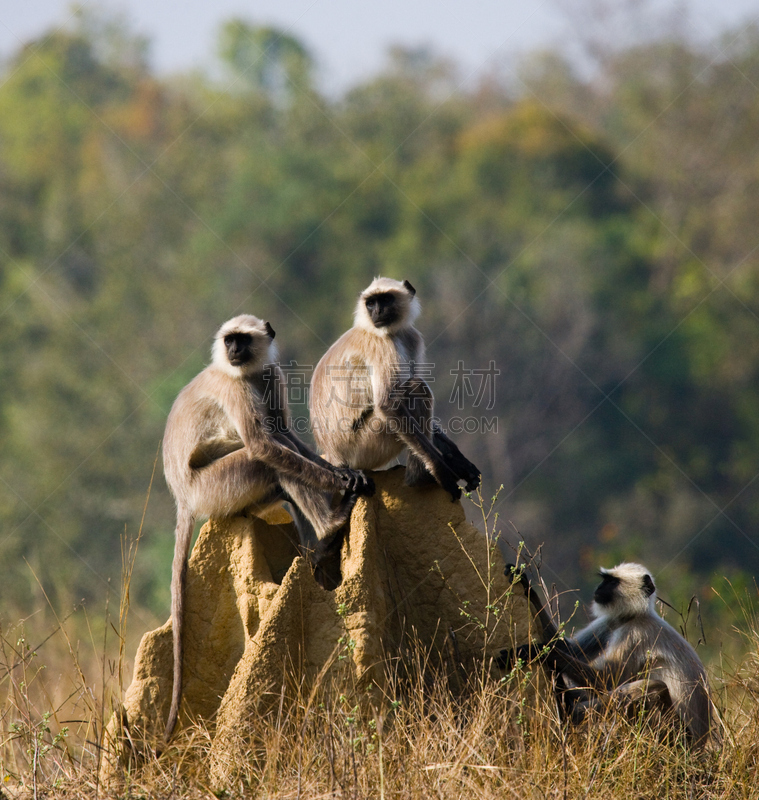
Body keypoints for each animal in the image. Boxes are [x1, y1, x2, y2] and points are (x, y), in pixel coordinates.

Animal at [163, 316, 374, 740]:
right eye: (230, 340)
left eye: (243, 341)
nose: (233, 351)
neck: (245, 371)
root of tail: (183, 497)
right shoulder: (234, 386)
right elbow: (265, 444)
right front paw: (341, 481)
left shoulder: (269, 374)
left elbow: (284, 434)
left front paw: (343, 472)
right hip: (216, 486)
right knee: (264, 461)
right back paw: (333, 522)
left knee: (280, 476)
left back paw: (321, 548)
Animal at [310, 276, 480, 500]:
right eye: (371, 303)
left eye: (385, 300)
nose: (377, 311)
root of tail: (332, 455)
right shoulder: (382, 344)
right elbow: (388, 404)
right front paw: (441, 470)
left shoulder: (411, 337)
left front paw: (461, 462)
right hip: (363, 447)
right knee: (417, 388)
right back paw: (419, 477)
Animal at [502, 560, 716, 748]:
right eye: (604, 579)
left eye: (612, 582)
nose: (599, 587)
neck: (634, 616)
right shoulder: (612, 621)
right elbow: (569, 648)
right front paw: (525, 586)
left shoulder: (634, 634)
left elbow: (606, 680)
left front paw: (536, 652)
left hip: (675, 735)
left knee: (653, 687)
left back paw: (567, 712)